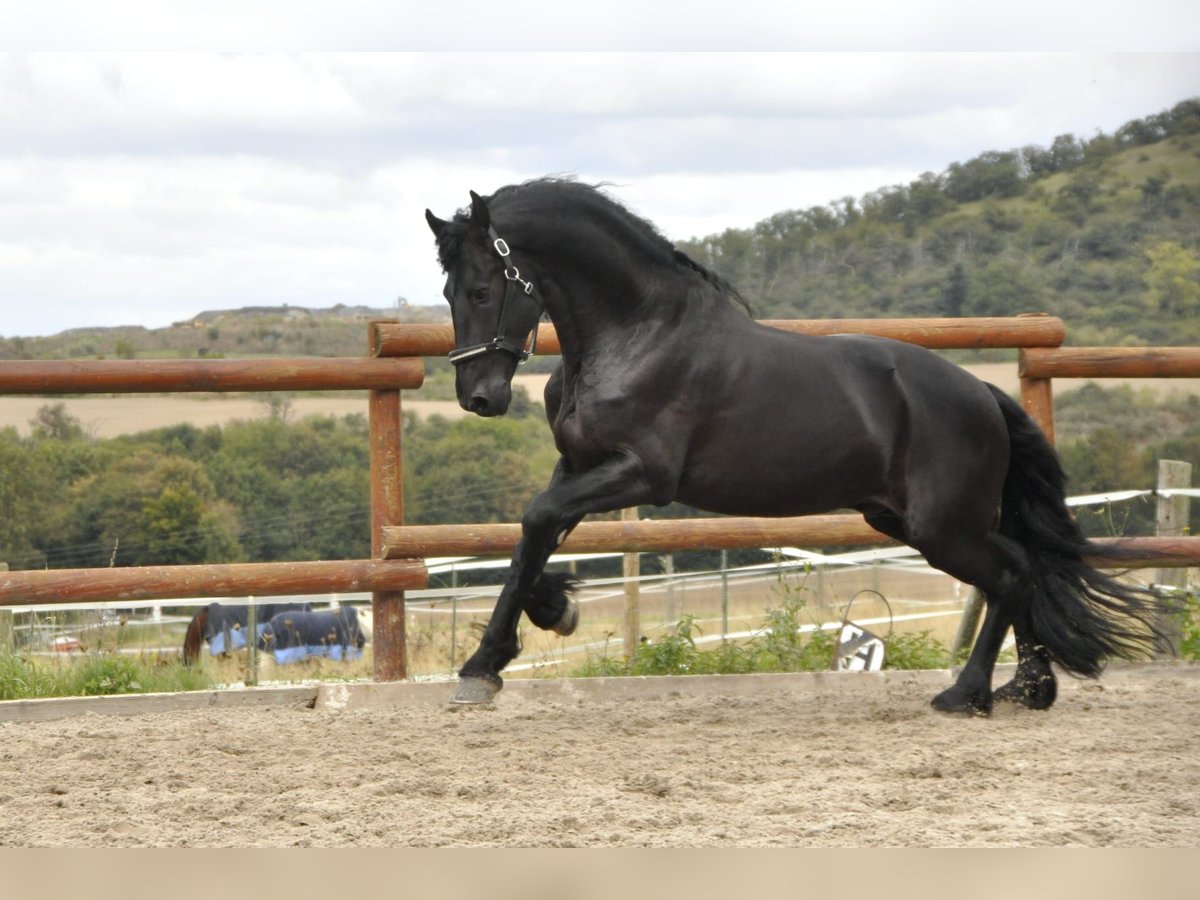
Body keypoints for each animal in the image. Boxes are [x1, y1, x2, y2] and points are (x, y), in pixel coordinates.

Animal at [424, 176, 1171, 715]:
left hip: (942, 527)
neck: (638, 333)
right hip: (904, 519)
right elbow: (533, 536)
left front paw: (492, 661)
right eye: (448, 290)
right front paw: (539, 623)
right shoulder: (579, 465)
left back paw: (969, 694)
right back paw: (1028, 688)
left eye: (483, 289)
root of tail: (984, 395)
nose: (478, 397)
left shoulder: (642, 475)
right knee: (1023, 568)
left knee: (1014, 575)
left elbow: (537, 521)